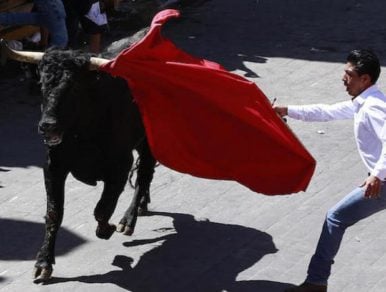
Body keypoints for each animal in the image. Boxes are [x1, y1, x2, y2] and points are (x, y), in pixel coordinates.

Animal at [32, 49, 155, 282]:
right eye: (41, 83)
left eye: (73, 87)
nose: (47, 126)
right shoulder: (53, 167)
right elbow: (54, 213)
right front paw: (43, 263)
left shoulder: (120, 167)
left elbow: (102, 208)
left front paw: (107, 229)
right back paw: (143, 206)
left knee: (144, 174)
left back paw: (128, 220)